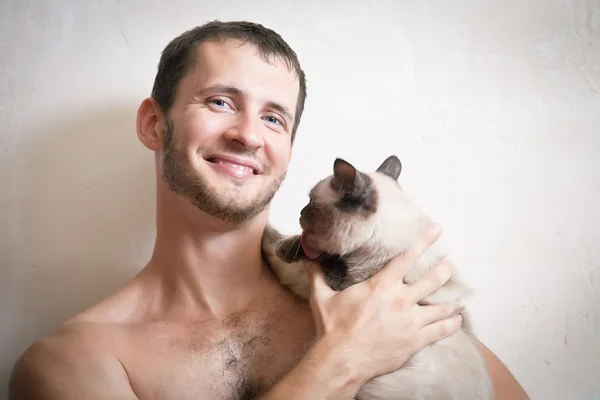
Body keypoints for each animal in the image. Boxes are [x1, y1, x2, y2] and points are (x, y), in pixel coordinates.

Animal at [262, 155, 492, 400]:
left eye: (311, 203)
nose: (300, 212)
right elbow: (292, 244)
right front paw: (284, 246)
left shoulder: (333, 282)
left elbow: (295, 258)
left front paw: (276, 243)